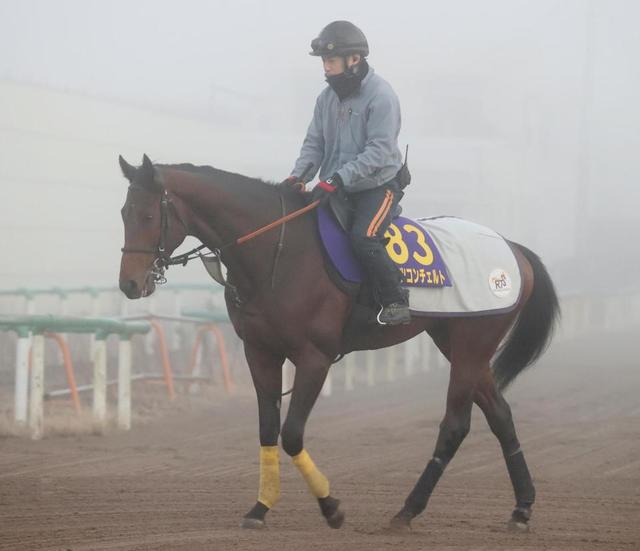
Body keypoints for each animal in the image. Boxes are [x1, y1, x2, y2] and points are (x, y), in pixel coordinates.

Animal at [117, 153, 556, 532]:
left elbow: (292, 432)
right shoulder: (260, 352)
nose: (129, 284)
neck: (277, 251)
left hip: (471, 344)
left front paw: (331, 507)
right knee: (500, 414)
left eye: (149, 214)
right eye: (124, 213)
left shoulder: (315, 357)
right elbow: (267, 429)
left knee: (455, 425)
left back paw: (408, 510)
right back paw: (521, 508)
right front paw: (260, 507)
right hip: (456, 341)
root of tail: (512, 249)